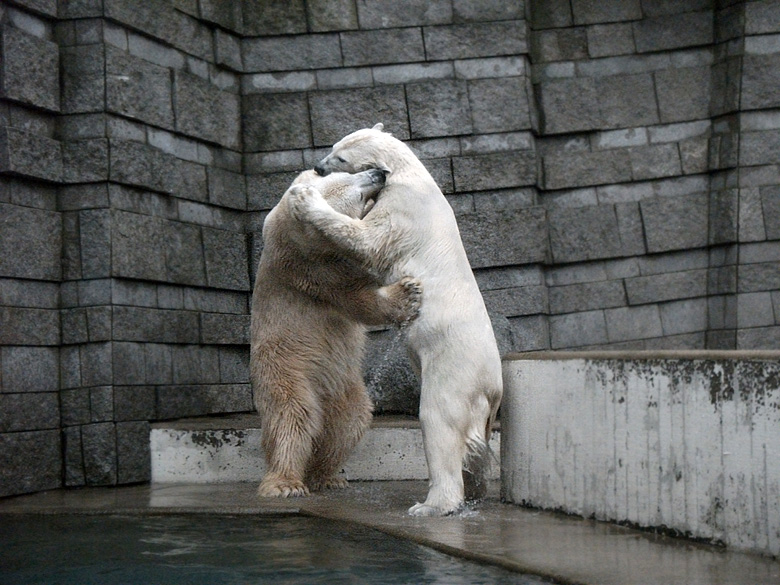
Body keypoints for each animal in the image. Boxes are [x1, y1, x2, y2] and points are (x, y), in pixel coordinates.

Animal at [250, 168, 420, 498]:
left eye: (350, 174)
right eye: (355, 192)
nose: (378, 173)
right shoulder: (318, 274)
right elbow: (360, 298)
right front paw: (407, 292)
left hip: (345, 387)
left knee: (349, 422)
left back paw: (326, 475)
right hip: (285, 367)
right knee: (292, 416)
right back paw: (285, 482)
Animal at [294, 122, 506, 512]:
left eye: (340, 158)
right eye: (334, 146)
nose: (317, 166)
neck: (410, 175)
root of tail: (493, 387)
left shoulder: (402, 211)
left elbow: (366, 239)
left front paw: (306, 199)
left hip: (453, 369)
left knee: (439, 421)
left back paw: (434, 504)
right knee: (475, 443)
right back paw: (475, 488)